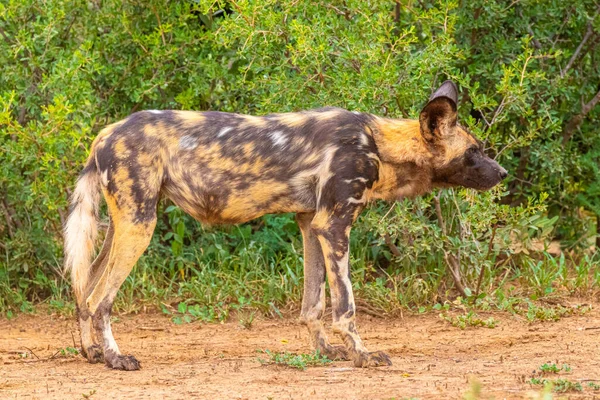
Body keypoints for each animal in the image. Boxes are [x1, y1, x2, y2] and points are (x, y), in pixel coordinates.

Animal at [64, 81, 506, 372]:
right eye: (474, 152)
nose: (502, 173)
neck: (379, 144)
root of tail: (104, 134)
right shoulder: (335, 225)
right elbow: (345, 306)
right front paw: (362, 355)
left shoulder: (312, 224)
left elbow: (313, 304)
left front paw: (325, 351)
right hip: (140, 227)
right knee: (100, 299)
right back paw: (115, 358)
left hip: (125, 225)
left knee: (84, 289)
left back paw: (91, 353)